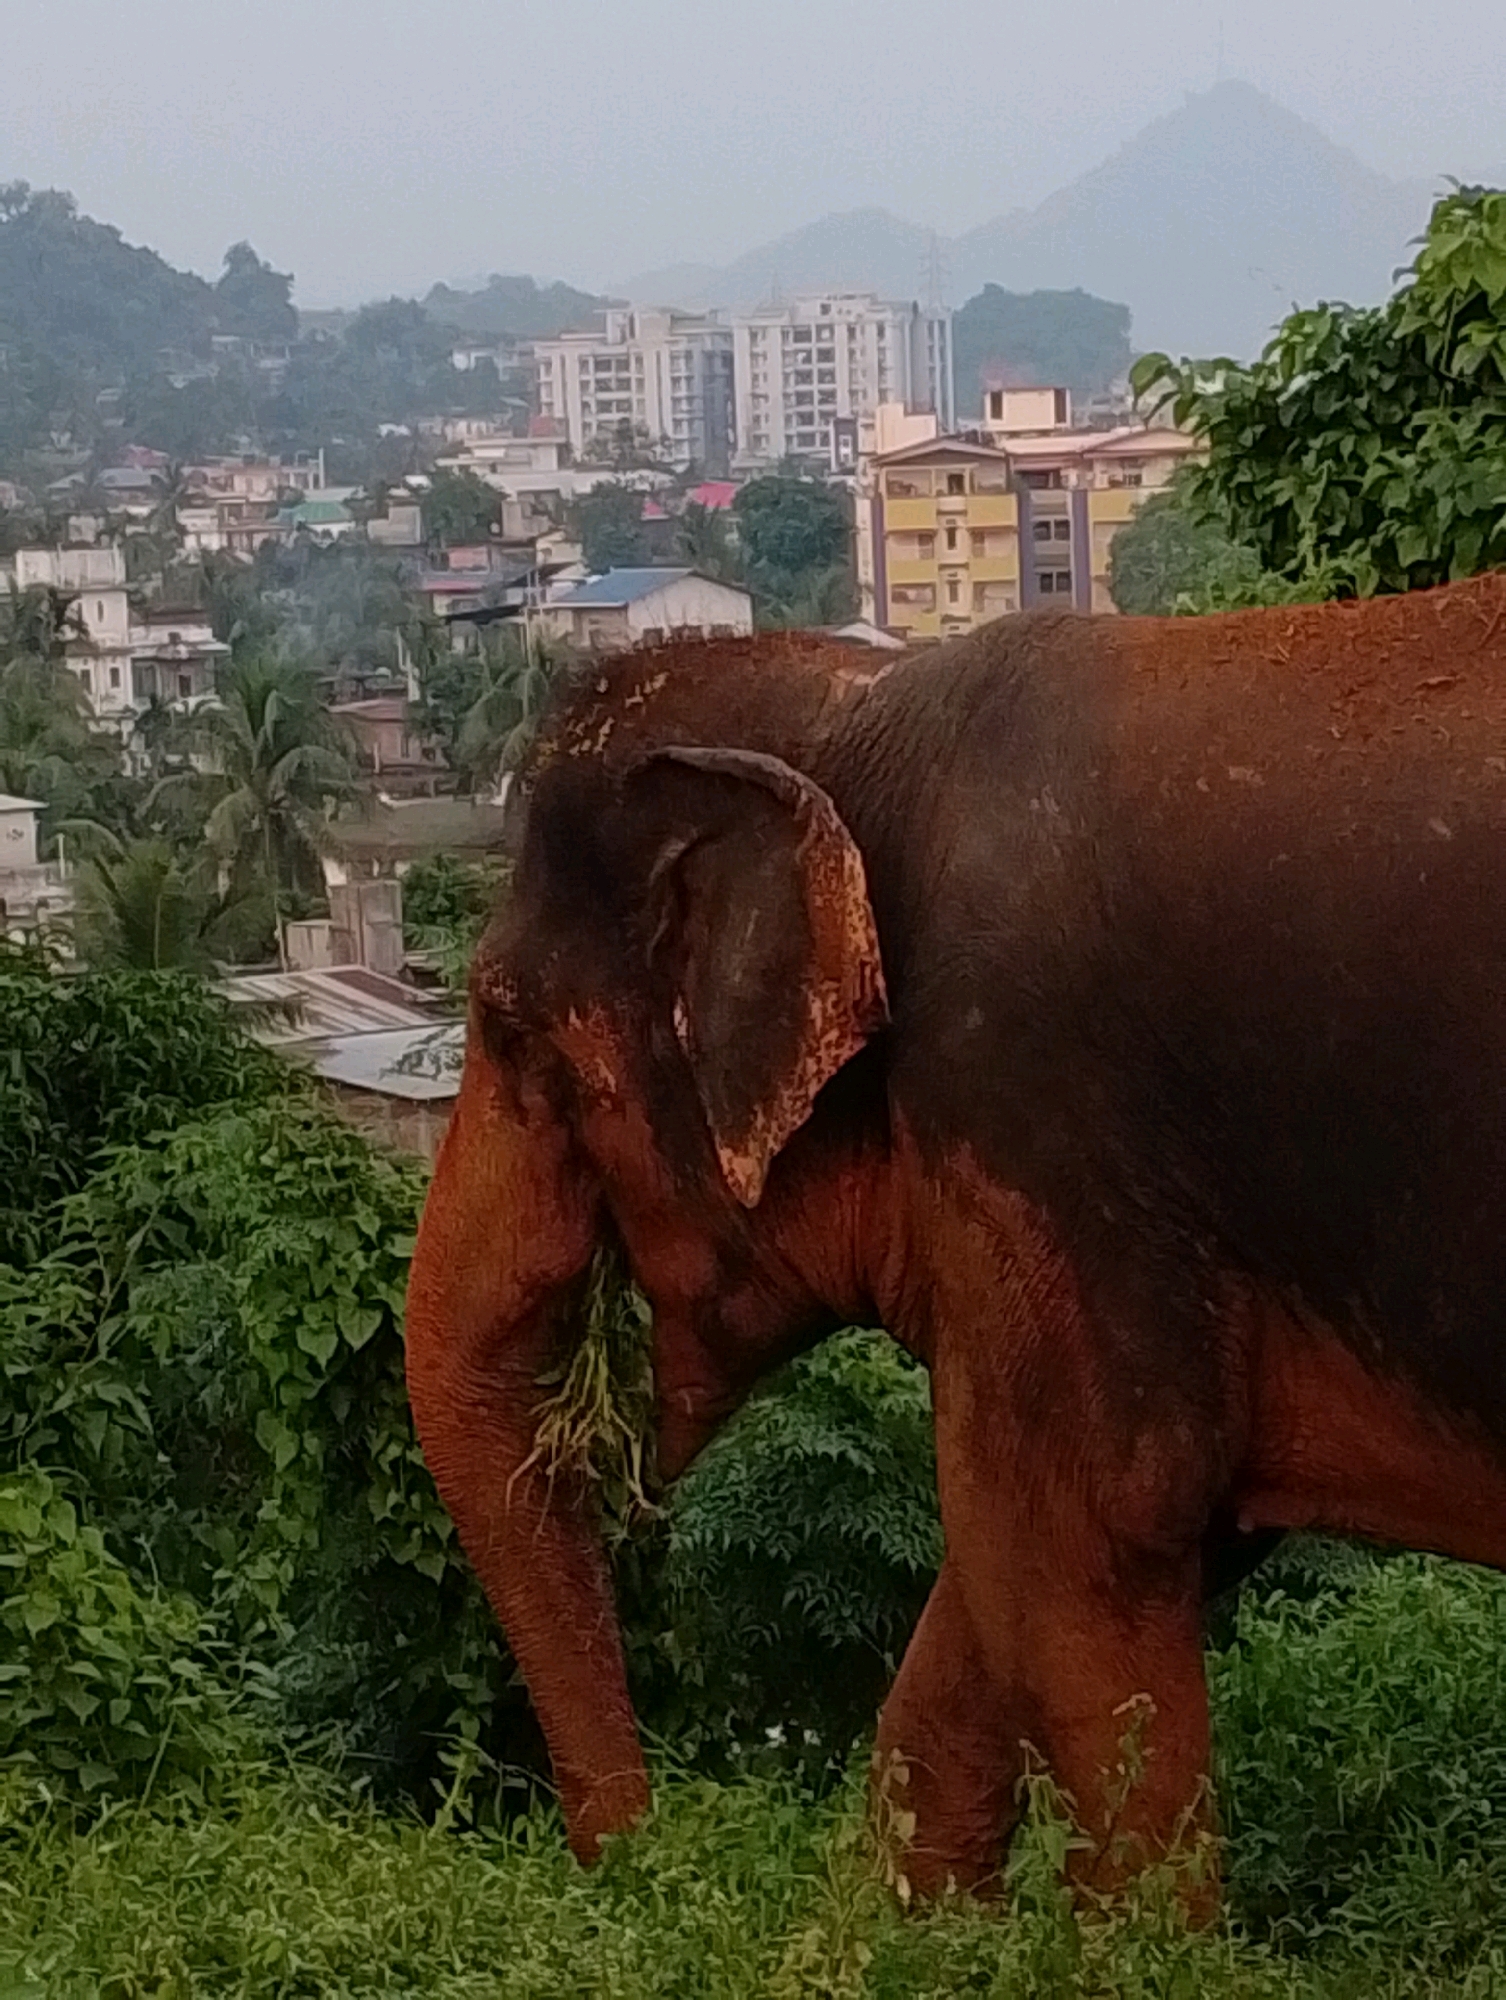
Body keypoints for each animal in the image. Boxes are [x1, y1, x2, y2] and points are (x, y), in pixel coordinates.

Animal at [406, 572, 1506, 1901]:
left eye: (507, 1030)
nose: (645, 1860)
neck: (859, 711)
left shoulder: (1031, 1125)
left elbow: (1067, 1546)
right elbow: (984, 1634)